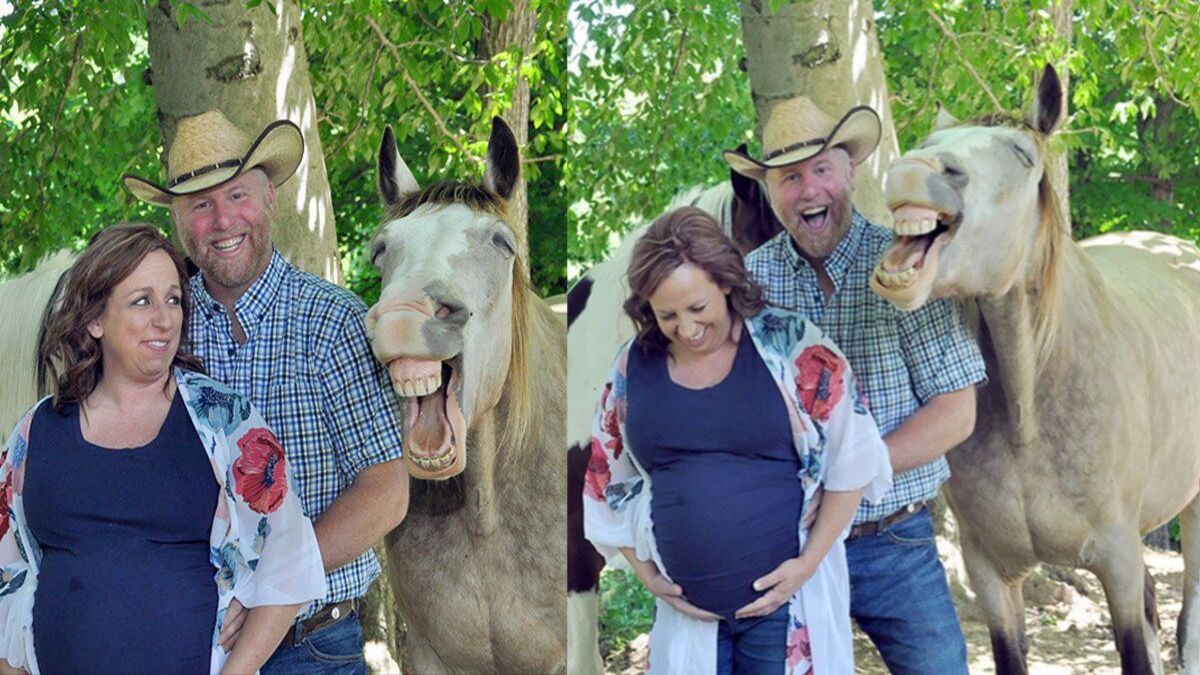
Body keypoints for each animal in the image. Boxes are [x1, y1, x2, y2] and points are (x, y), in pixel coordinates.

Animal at [873, 63, 1200, 672]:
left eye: (1022, 154)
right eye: (927, 142)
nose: (911, 172)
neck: (1032, 405)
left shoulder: (1117, 560)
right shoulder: (990, 574)